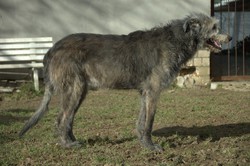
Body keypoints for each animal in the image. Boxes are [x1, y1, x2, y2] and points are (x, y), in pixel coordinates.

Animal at [20, 13, 232, 152]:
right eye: (214, 27)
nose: (230, 37)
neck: (177, 39)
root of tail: (52, 49)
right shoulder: (153, 91)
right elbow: (149, 122)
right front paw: (151, 146)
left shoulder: (145, 92)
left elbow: (142, 120)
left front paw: (142, 142)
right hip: (74, 88)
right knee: (61, 119)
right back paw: (67, 144)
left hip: (80, 91)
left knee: (68, 119)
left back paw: (73, 139)